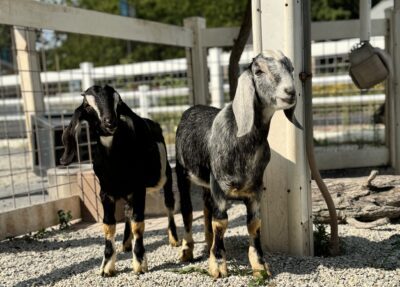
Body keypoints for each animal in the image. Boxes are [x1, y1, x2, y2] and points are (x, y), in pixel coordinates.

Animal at [59, 85, 184, 276]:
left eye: (119, 103)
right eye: (87, 106)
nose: (110, 123)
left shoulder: (138, 190)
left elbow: (138, 224)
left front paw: (139, 263)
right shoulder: (105, 193)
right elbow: (109, 226)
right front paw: (107, 266)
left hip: (165, 175)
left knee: (169, 203)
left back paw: (174, 239)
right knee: (126, 211)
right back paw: (125, 243)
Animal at [177, 51, 302, 280]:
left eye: (290, 68)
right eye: (258, 70)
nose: (290, 92)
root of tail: (193, 107)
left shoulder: (255, 191)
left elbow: (254, 224)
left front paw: (260, 266)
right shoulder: (219, 187)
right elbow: (221, 222)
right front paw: (218, 265)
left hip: (207, 184)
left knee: (205, 208)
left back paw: (207, 243)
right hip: (182, 174)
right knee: (187, 211)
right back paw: (187, 251)